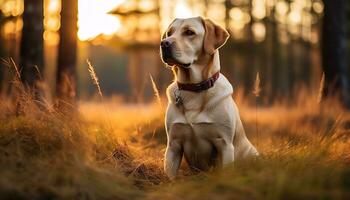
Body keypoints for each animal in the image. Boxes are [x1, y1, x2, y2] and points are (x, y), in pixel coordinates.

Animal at [160, 17, 258, 180]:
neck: (193, 87)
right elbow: (170, 176)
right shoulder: (173, 145)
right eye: (169, 33)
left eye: (189, 32)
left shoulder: (225, 144)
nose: (164, 43)